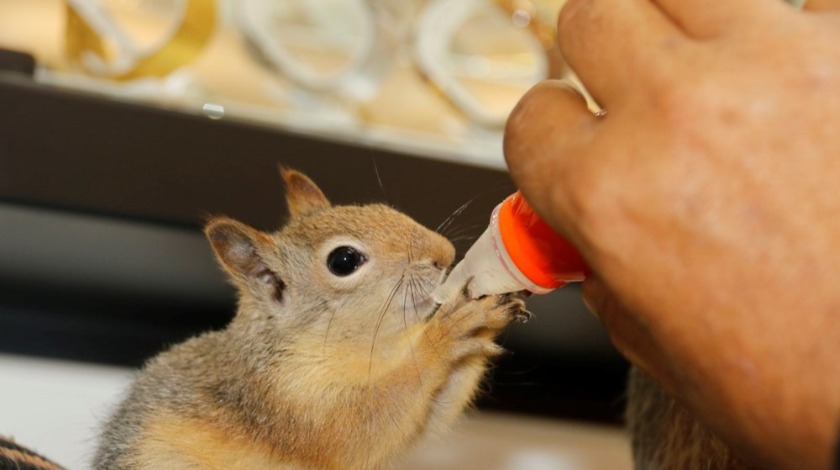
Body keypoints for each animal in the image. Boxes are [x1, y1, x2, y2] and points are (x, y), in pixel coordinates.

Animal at [95, 169, 528, 470]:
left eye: (381, 208)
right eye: (343, 261)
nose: (444, 253)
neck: (375, 348)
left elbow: (427, 420)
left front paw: (490, 307)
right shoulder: (284, 399)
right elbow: (359, 428)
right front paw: (449, 331)